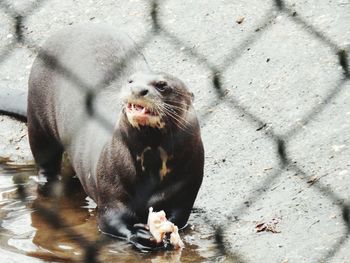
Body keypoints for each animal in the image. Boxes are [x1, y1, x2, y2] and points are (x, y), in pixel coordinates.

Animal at [0, 24, 204, 250]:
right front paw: (139, 235)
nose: (137, 89)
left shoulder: (187, 188)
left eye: (162, 85)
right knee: (44, 157)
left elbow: (180, 215)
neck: (152, 171)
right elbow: (110, 220)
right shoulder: (111, 187)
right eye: (130, 80)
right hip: (38, 115)